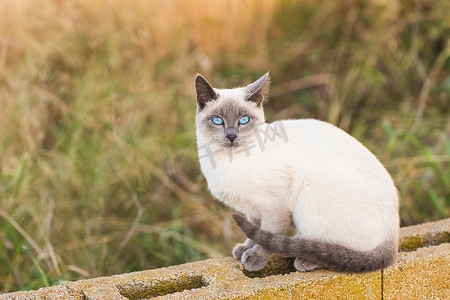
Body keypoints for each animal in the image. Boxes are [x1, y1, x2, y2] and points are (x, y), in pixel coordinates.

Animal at [193, 72, 398, 272]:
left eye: (244, 120)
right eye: (217, 120)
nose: (231, 136)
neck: (228, 161)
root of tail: (393, 236)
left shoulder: (274, 207)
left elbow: (268, 235)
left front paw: (254, 258)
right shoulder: (252, 208)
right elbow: (255, 232)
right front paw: (244, 249)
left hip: (311, 196)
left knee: (338, 251)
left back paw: (305, 259)